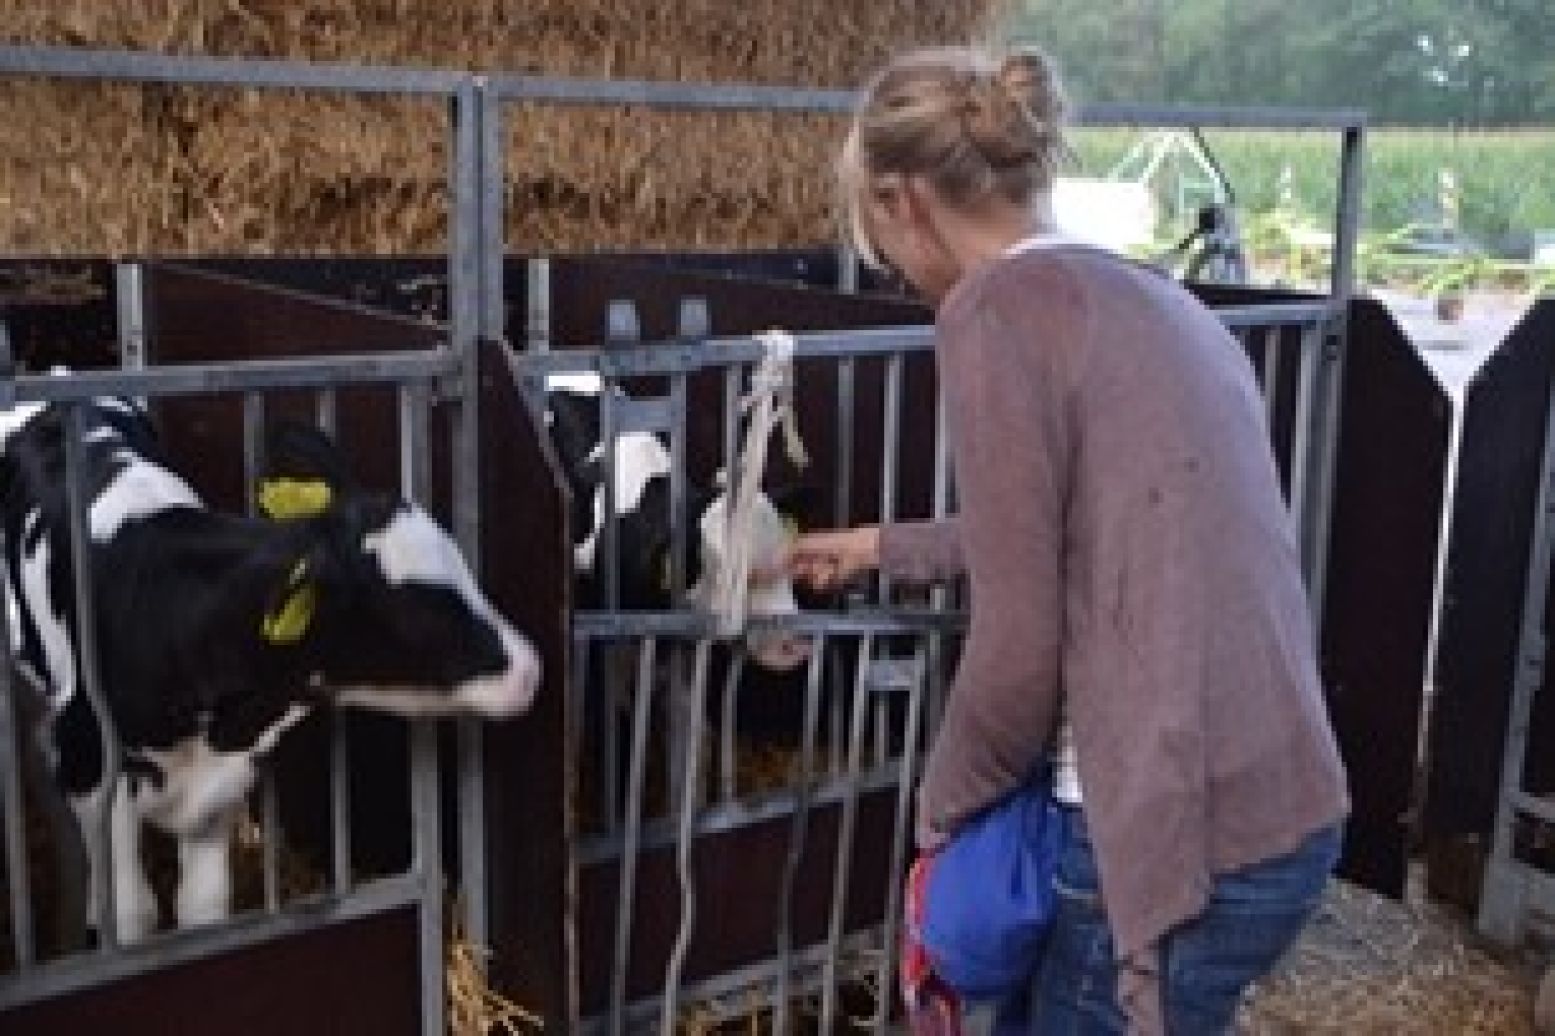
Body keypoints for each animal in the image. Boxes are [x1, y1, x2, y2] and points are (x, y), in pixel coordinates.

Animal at [0, 396, 541, 945]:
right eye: (416, 613)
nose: (529, 670)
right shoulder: (91, 765)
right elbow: (131, 916)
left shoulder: (221, 783)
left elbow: (204, 910)